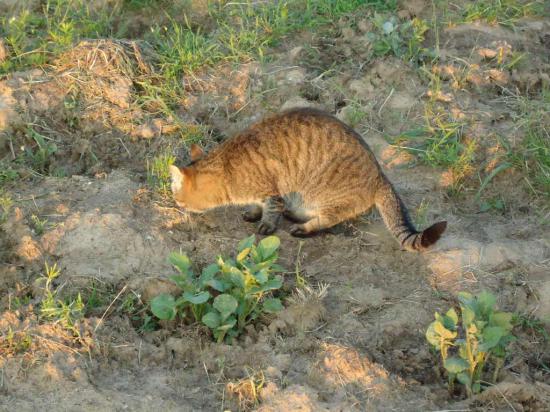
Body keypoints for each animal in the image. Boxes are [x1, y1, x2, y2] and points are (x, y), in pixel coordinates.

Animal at [170, 108, 446, 251]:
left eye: (178, 199)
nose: (176, 207)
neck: (226, 167)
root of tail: (380, 175)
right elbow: (257, 206)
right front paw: (252, 212)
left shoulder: (272, 192)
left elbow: (270, 210)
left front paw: (265, 225)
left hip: (328, 198)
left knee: (327, 219)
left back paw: (302, 227)